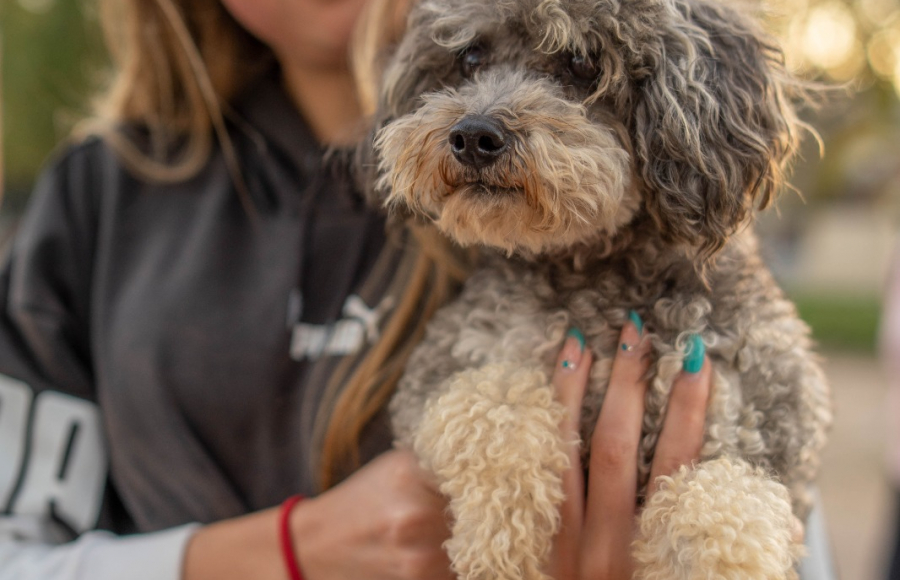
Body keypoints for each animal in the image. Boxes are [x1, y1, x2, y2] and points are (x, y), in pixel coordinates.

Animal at [362, 2, 832, 576]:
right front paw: (499, 546)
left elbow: (726, 511)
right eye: (470, 56)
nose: (473, 135)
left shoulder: (764, 425)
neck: (601, 270)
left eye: (582, 61)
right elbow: (496, 406)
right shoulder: (445, 365)